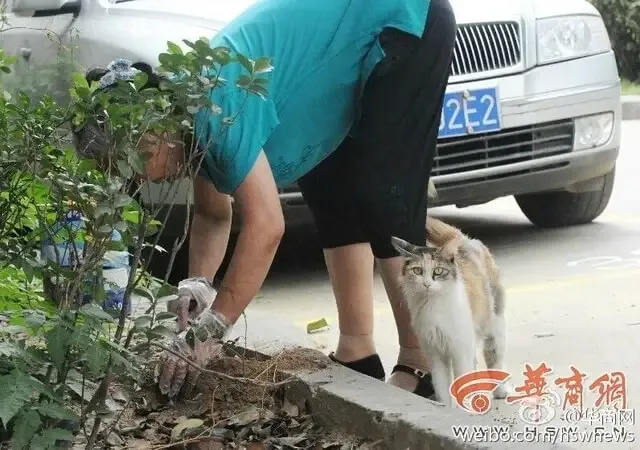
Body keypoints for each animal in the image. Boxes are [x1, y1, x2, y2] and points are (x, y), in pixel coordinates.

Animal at [390, 213, 510, 406]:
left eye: (438, 271)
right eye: (417, 271)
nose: (427, 284)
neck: (433, 305)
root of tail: (465, 240)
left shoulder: (459, 349)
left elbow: (462, 379)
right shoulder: (435, 353)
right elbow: (441, 387)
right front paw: (445, 408)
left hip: (494, 327)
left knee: (494, 358)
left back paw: (500, 390)